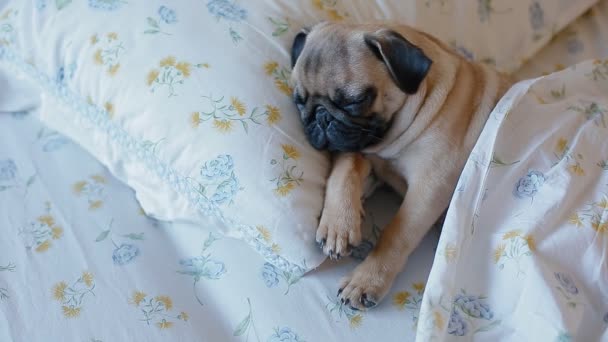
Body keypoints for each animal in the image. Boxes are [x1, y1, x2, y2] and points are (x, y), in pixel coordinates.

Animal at [290, 21, 512, 310]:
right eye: (299, 101)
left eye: (355, 100)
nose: (321, 117)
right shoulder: (361, 149)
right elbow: (344, 170)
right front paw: (339, 224)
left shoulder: (431, 187)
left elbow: (396, 233)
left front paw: (366, 280)